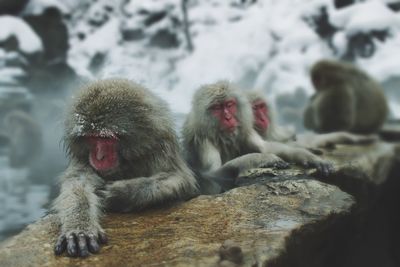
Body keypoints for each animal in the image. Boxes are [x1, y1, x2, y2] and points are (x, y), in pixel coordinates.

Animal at [52, 79, 199, 258]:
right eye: (92, 138)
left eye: (106, 138)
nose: (98, 157)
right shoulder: (83, 157)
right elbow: (78, 183)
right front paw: (79, 228)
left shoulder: (160, 149)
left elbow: (181, 180)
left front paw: (122, 193)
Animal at [183, 81, 332, 195]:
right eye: (217, 108)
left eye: (229, 105)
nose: (228, 118)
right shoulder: (203, 141)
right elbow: (212, 175)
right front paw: (264, 158)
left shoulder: (245, 128)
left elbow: (265, 147)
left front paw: (310, 158)